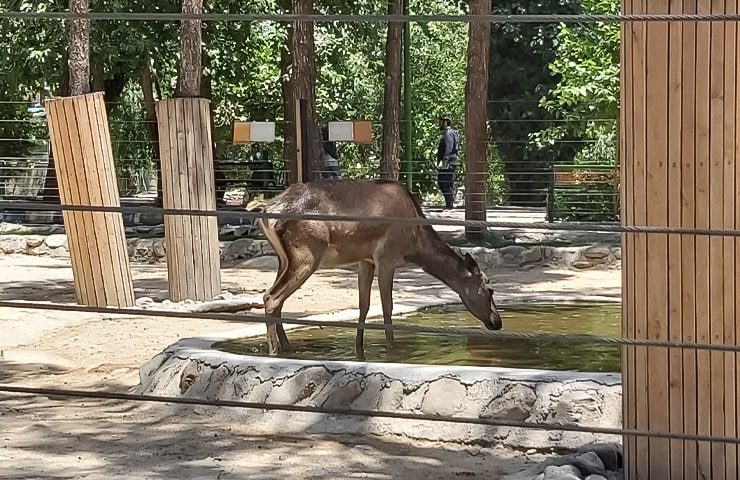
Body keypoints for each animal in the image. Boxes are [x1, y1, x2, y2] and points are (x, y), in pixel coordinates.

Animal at [244, 180, 502, 356]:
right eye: (489, 290)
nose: (497, 321)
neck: (415, 243)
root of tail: (266, 209)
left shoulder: (365, 260)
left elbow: (364, 305)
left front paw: (359, 348)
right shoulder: (386, 256)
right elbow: (387, 307)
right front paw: (392, 349)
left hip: (284, 259)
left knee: (274, 298)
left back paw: (288, 348)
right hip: (306, 255)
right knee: (272, 297)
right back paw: (275, 352)